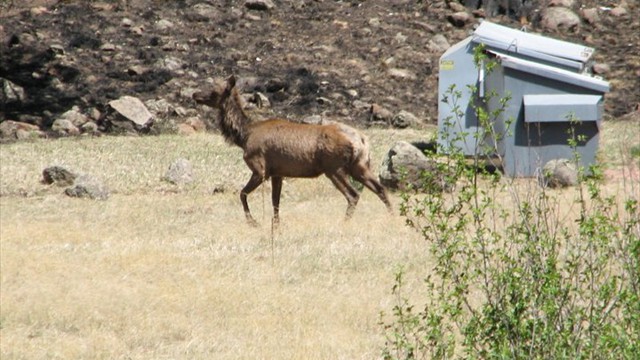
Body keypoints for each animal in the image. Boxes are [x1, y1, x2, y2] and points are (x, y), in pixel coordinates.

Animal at [191, 75, 390, 226]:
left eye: (214, 90)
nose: (194, 94)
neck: (244, 136)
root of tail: (362, 141)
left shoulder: (260, 168)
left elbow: (242, 193)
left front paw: (253, 222)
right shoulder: (277, 173)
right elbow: (275, 202)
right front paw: (276, 226)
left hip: (334, 168)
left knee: (353, 195)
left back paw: (344, 222)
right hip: (360, 165)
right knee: (380, 188)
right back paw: (394, 217)